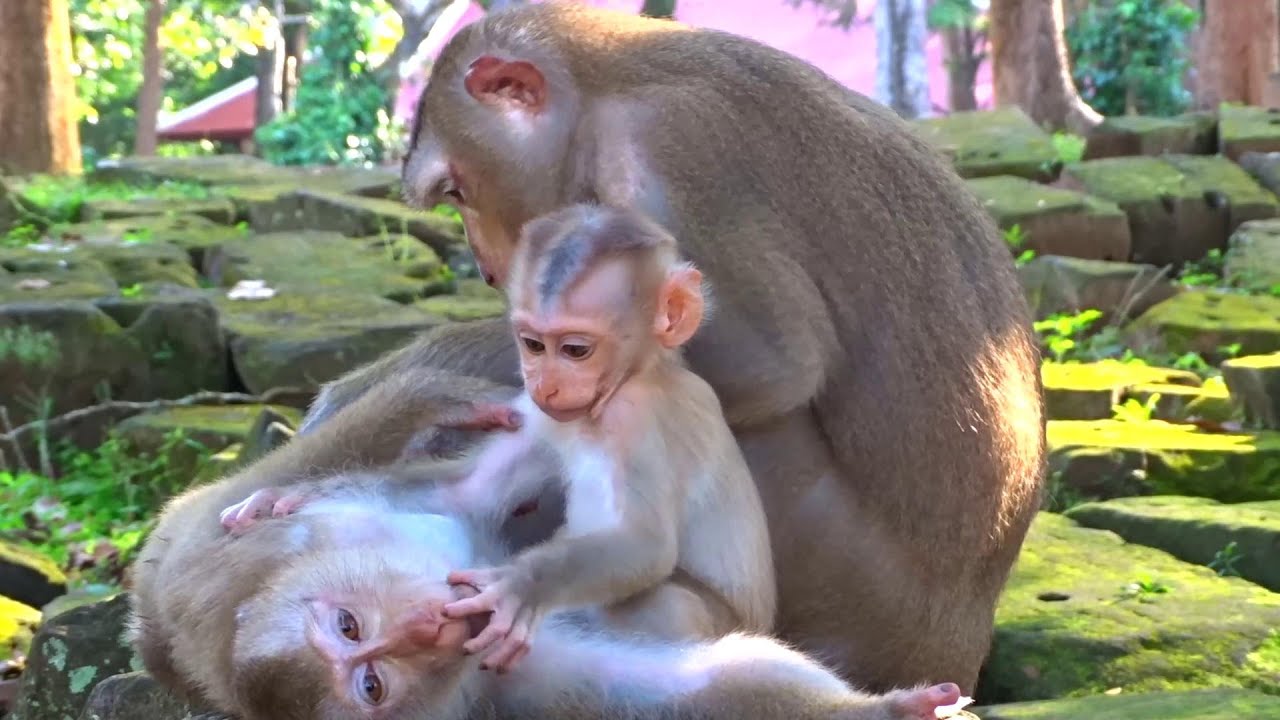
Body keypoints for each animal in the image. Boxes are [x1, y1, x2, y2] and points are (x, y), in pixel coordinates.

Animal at [156, 461, 969, 720]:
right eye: (371, 687)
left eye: (350, 630)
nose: (429, 631)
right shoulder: (498, 688)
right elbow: (699, 690)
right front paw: (886, 713)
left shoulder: (356, 529)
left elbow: (466, 494)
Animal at [223, 203, 778, 675]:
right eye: (532, 345)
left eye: (575, 350)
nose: (545, 382)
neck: (610, 400)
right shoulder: (538, 415)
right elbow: (466, 490)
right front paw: (291, 495)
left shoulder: (639, 419)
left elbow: (644, 543)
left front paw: (520, 587)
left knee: (664, 605)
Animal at [301, 1, 1047, 693]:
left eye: (458, 189)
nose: (486, 266)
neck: (601, 94)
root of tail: (960, 645)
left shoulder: (664, 154)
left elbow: (773, 366)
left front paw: (404, 377)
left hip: (844, 579)